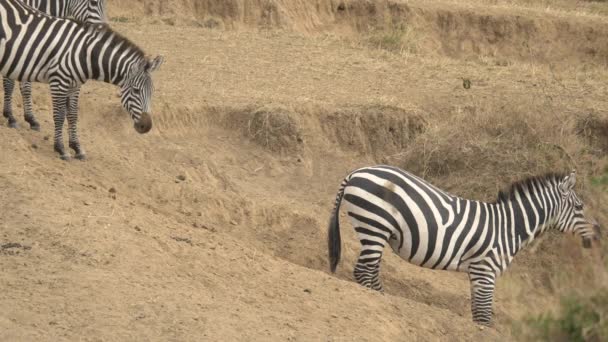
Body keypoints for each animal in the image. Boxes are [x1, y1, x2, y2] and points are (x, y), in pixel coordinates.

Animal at [2, 0, 107, 130]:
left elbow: (25, 87)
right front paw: (10, 116)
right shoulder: (15, 48)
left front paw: (30, 118)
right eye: (93, 2)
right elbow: (10, 84)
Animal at [326, 166, 600, 326]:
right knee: (364, 271)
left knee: (370, 272)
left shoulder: (477, 274)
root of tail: (356, 172)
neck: (509, 227)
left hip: (375, 230)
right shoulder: (485, 271)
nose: (599, 234)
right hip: (375, 224)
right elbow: (483, 317)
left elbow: (477, 312)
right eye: (580, 207)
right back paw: (382, 300)